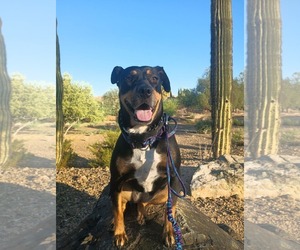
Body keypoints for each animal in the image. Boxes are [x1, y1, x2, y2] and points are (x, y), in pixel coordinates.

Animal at [109, 65, 182, 247]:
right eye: (129, 77)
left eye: (155, 78)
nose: (145, 90)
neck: (143, 139)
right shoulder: (116, 180)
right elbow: (117, 211)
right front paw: (119, 234)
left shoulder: (173, 178)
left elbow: (170, 210)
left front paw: (169, 233)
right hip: (121, 191)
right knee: (122, 206)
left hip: (162, 193)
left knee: (145, 204)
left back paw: (142, 215)